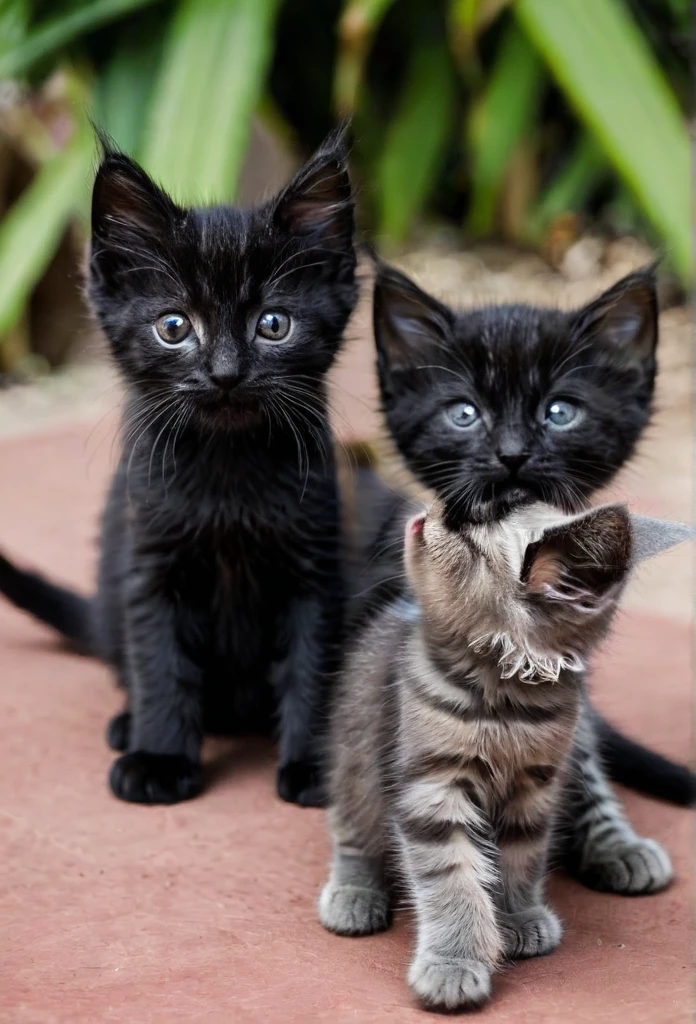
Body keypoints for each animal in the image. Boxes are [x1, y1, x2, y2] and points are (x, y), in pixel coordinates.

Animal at [0, 132, 356, 806]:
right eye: (174, 327)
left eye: (273, 324)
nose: (224, 373)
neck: (227, 467)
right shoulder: (150, 564)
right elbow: (160, 662)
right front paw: (159, 758)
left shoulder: (316, 567)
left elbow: (314, 664)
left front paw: (315, 767)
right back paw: (127, 724)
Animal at [321, 499, 691, 1011]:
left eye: (464, 528)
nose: (427, 511)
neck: (503, 705)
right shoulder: (432, 787)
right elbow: (452, 877)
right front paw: (453, 962)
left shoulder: (535, 788)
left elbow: (521, 857)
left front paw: (517, 916)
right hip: (353, 752)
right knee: (352, 828)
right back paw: (355, 892)